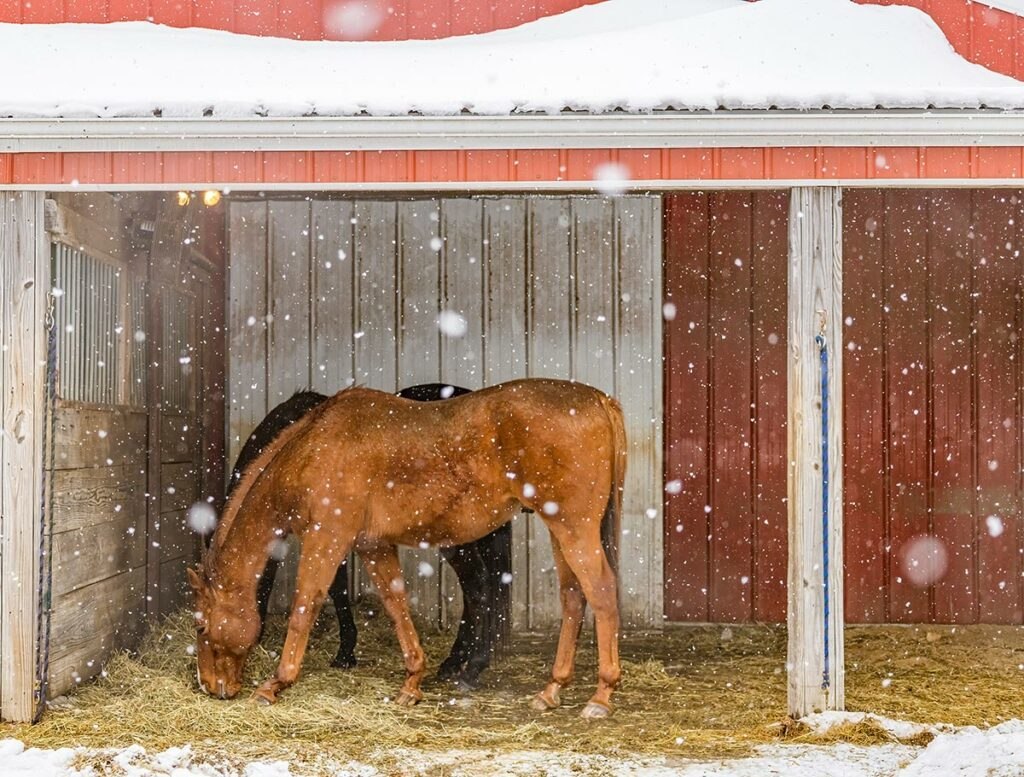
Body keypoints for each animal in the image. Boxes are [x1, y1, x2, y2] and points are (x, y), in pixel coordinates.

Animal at [188, 380, 626, 720]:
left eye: (202, 626)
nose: (210, 685)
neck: (314, 448)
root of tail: (599, 399)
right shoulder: (373, 546)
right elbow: (396, 604)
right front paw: (412, 681)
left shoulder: (326, 540)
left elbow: (305, 607)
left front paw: (275, 684)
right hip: (559, 531)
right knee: (573, 597)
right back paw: (551, 690)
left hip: (573, 529)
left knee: (602, 592)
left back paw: (600, 696)